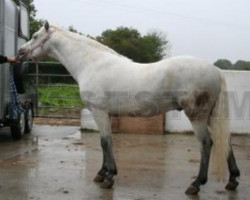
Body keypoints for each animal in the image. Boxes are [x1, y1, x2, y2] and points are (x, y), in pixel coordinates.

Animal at [18, 22, 240, 195]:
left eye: (35, 36)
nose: (20, 52)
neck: (91, 64)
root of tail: (215, 70)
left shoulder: (99, 112)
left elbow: (105, 142)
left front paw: (109, 177)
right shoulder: (104, 114)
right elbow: (105, 143)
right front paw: (101, 174)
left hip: (197, 116)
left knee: (207, 143)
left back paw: (196, 184)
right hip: (210, 116)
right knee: (225, 141)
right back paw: (232, 181)